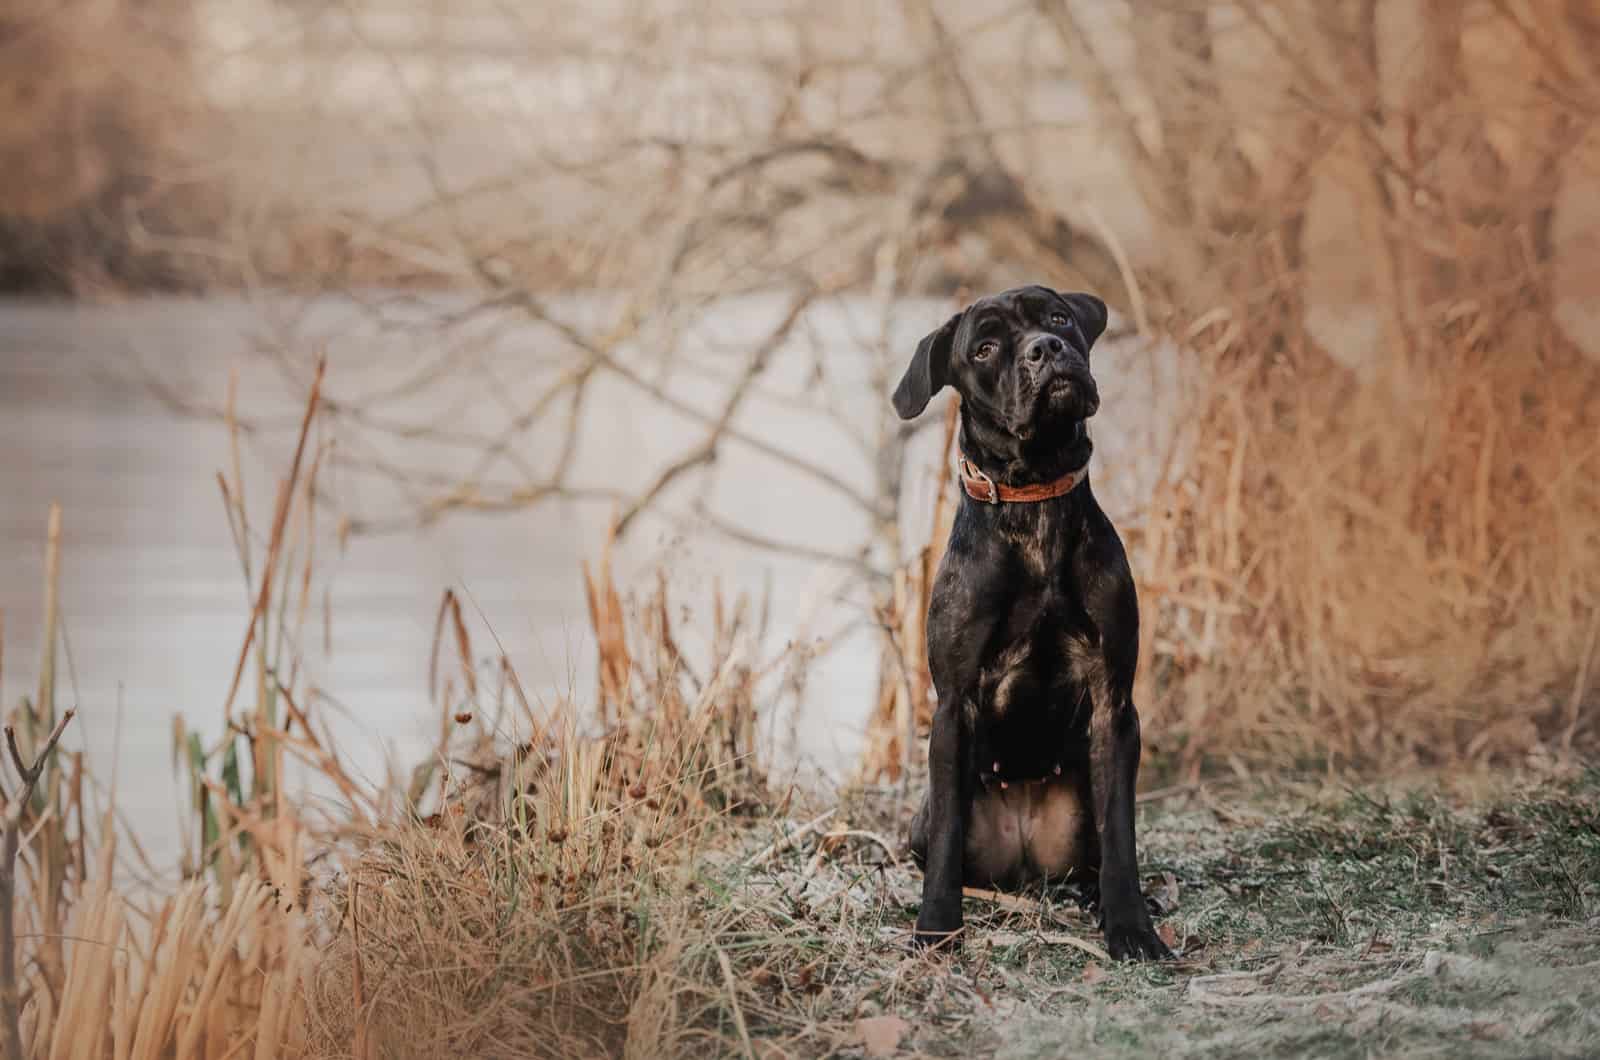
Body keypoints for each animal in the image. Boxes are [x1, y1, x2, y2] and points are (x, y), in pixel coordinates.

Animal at [902, 286, 1177, 967]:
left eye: (1057, 317)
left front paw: (1130, 926)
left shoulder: (1114, 702)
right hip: (921, 817)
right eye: (983, 347)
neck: (1036, 503)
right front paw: (936, 928)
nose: (1046, 349)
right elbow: (947, 839)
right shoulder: (953, 705)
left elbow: (1121, 837)